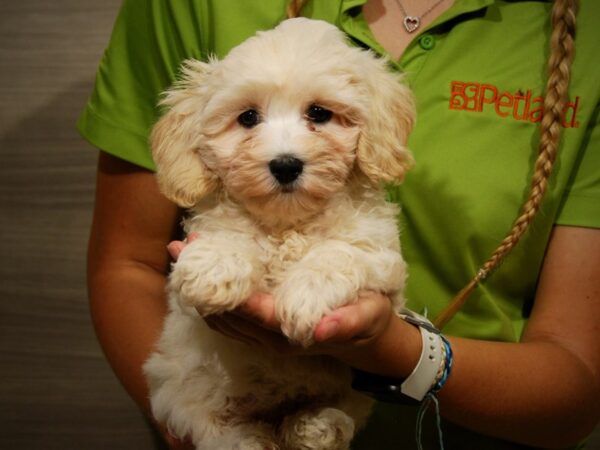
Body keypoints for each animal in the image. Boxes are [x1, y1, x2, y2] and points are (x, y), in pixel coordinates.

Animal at [145, 17, 414, 450]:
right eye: (248, 118)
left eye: (319, 113)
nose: (285, 165)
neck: (289, 224)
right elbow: (228, 235)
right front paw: (213, 269)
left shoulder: (380, 255)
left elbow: (340, 253)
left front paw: (307, 295)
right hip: (181, 388)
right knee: (220, 431)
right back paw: (255, 439)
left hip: (351, 393)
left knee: (338, 412)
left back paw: (315, 427)